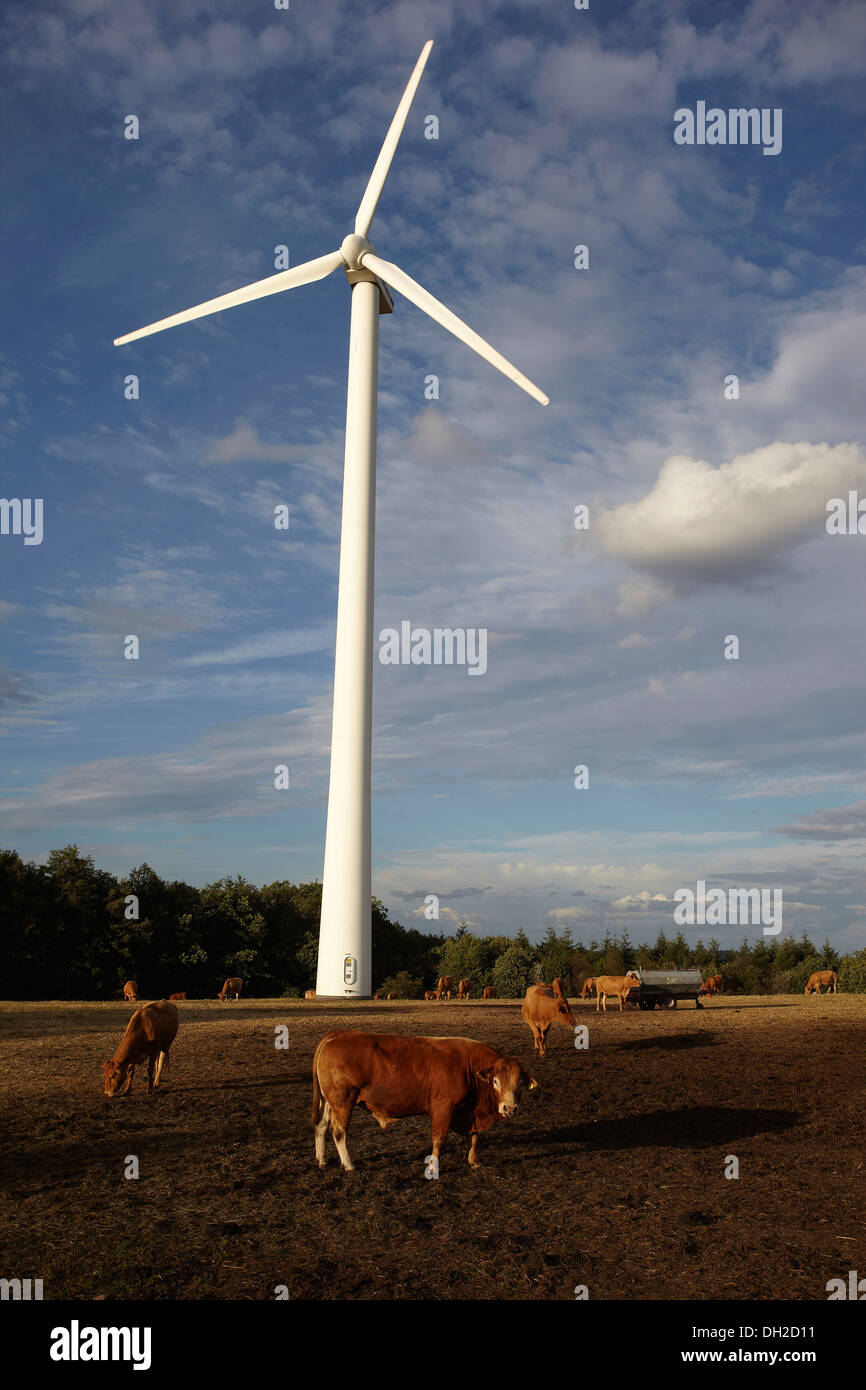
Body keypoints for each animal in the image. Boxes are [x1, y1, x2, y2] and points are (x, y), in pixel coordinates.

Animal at [311, 1034, 536, 1173]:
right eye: (495, 1081)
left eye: (521, 1084)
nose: (510, 1108)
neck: (468, 1066)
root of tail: (336, 1035)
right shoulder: (444, 1107)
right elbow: (439, 1139)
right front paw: (433, 1167)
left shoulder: (468, 1112)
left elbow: (473, 1138)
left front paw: (473, 1161)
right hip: (343, 1100)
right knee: (339, 1132)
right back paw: (349, 1165)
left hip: (329, 1102)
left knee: (321, 1126)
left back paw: (321, 1159)